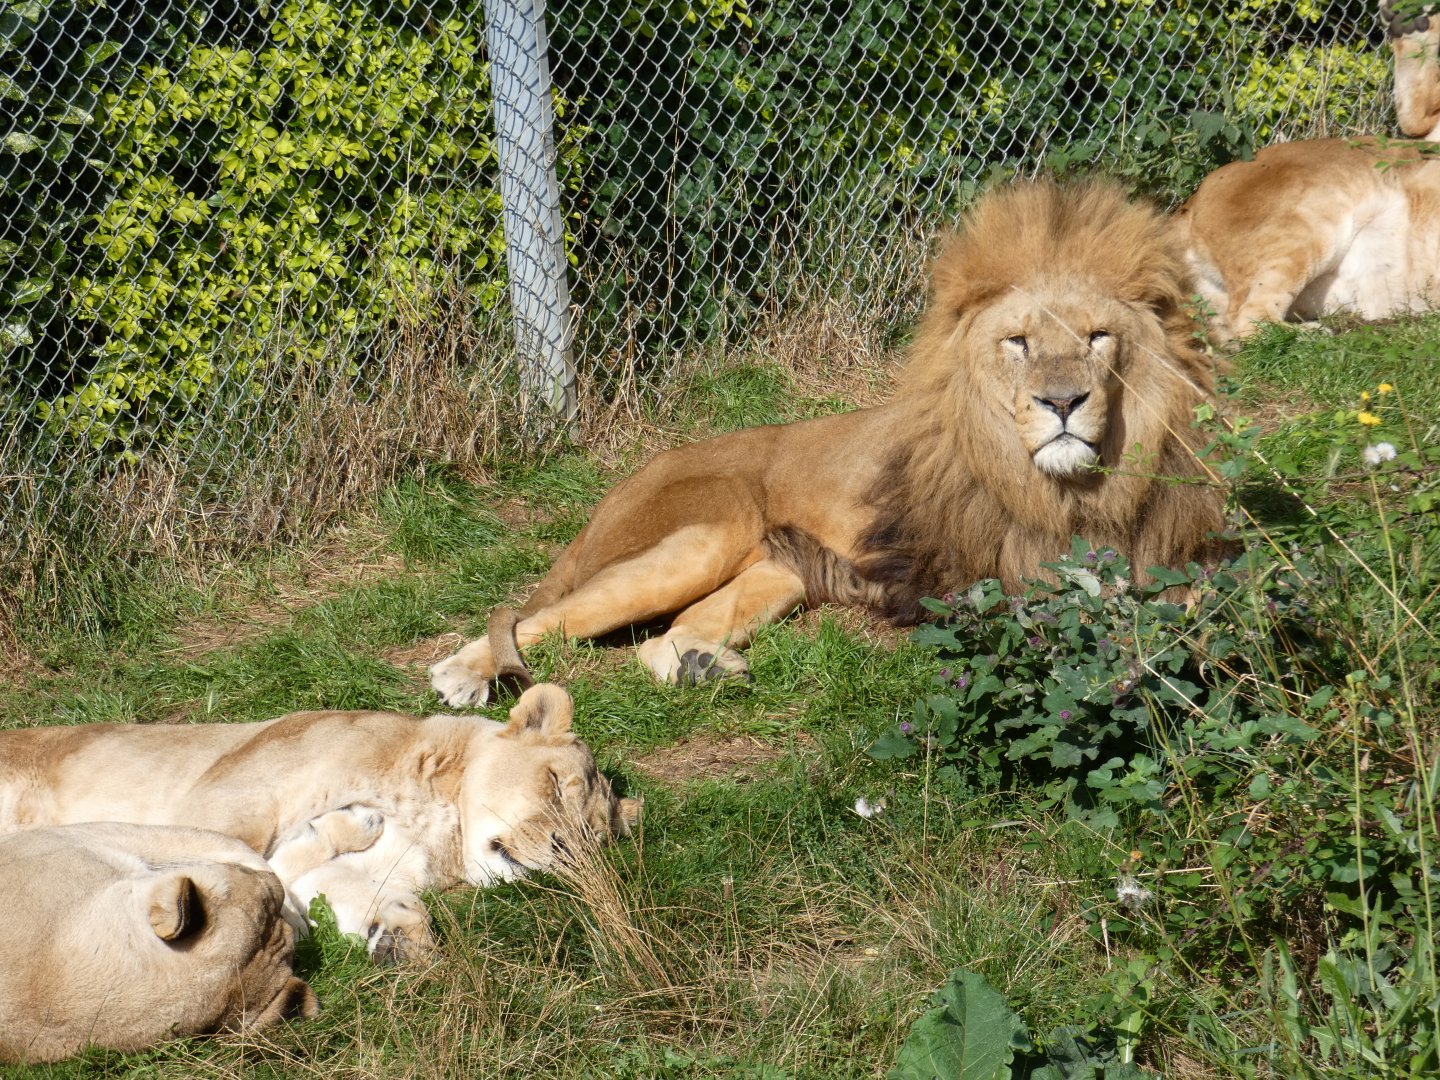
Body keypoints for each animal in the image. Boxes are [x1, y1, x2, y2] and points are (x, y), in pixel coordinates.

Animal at [0, 683, 641, 964]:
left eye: (592, 838)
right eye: (554, 782)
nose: (565, 850)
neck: (435, 827)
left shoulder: (366, 873)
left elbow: (347, 893)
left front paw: (401, 939)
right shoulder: (222, 798)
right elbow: (241, 858)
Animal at [430, 180, 1227, 706]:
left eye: (1097, 337)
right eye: (1019, 342)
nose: (1063, 402)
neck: (1071, 490)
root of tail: (626, 480)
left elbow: (1197, 605)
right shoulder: (995, 579)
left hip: (774, 574)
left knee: (664, 639)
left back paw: (701, 670)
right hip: (703, 533)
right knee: (538, 618)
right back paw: (459, 677)